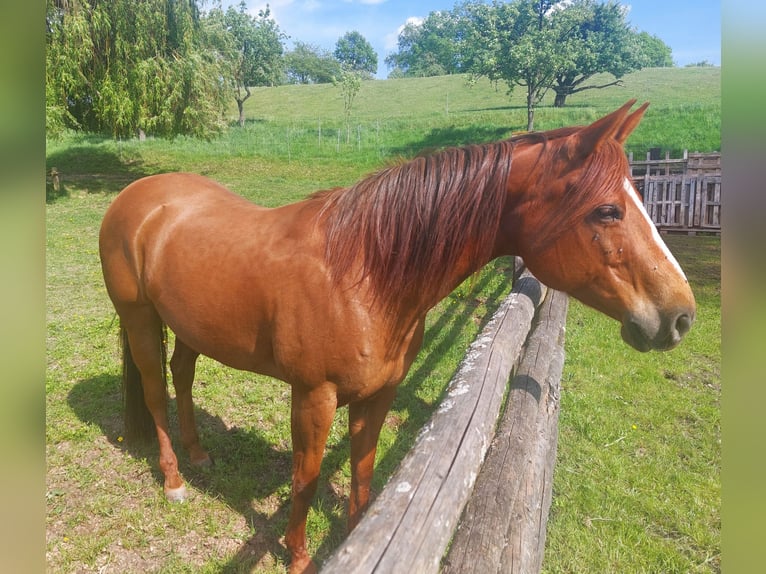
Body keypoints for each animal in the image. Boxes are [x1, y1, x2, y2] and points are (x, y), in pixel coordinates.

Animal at [99, 100, 695, 573]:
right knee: (154, 391)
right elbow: (306, 479)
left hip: (189, 326)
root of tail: (138, 194)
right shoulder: (313, 398)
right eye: (607, 210)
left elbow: (363, 476)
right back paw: (174, 479)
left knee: (182, 376)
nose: (681, 316)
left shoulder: (378, 395)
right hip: (140, 318)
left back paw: (199, 456)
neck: (363, 273)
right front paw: (298, 557)